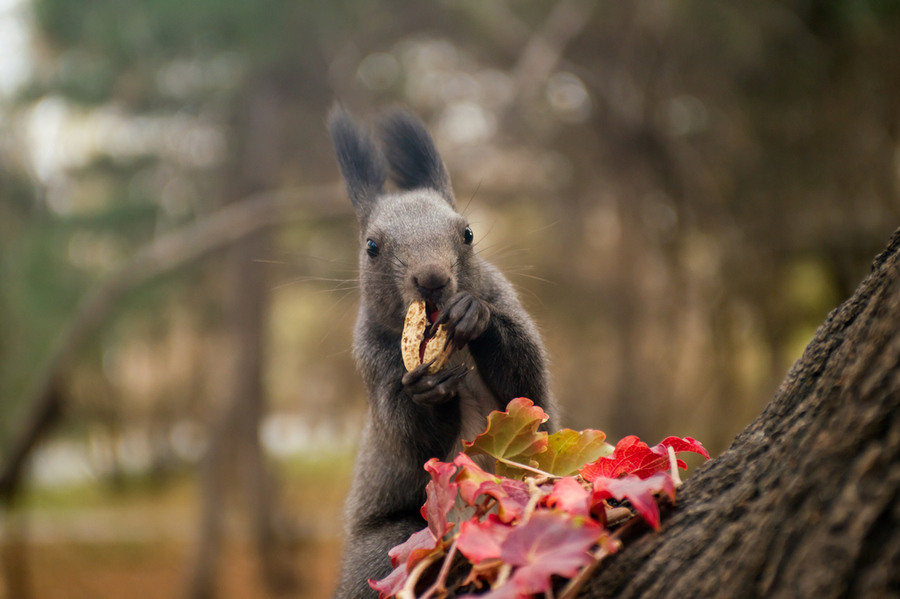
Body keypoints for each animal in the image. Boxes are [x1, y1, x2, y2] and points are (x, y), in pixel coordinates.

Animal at [328, 109, 556, 599]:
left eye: (467, 233)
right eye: (371, 247)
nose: (432, 278)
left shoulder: (509, 307)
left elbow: (528, 386)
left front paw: (476, 314)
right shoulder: (372, 360)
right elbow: (414, 435)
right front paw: (426, 388)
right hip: (387, 548)